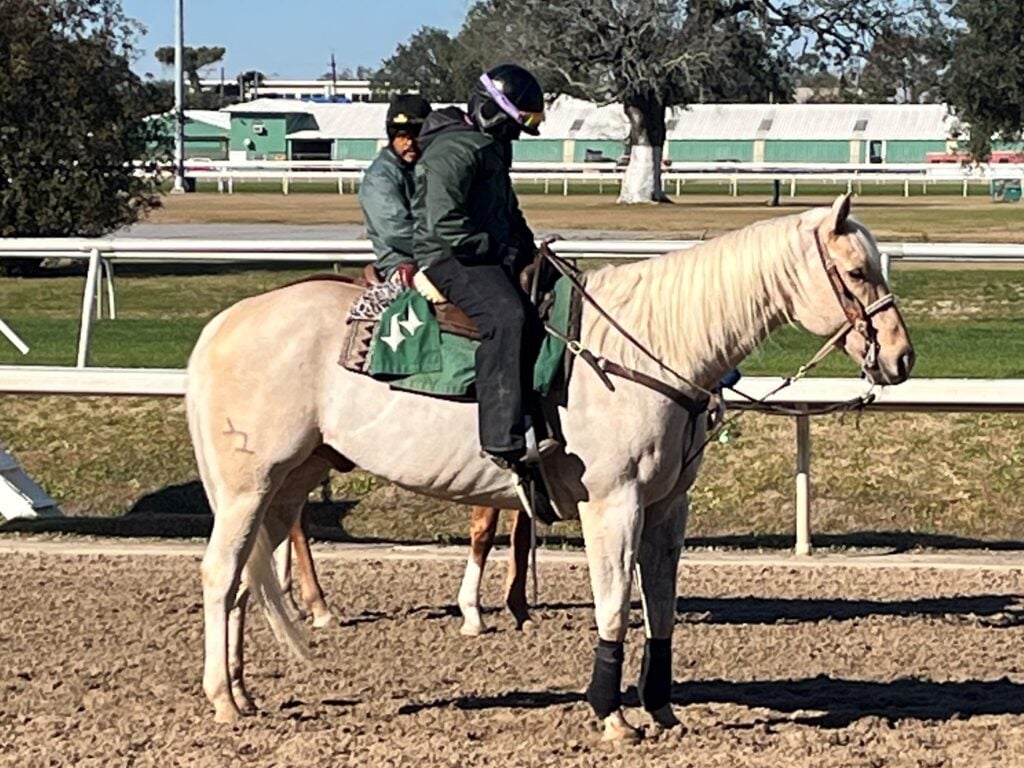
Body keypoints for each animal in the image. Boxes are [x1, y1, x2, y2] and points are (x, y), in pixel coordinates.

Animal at [190, 196, 913, 741]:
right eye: (855, 271)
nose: (901, 357)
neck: (642, 348)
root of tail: (219, 326)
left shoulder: (666, 507)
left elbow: (662, 607)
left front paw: (661, 708)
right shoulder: (613, 504)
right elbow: (614, 605)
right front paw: (611, 715)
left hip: (288, 482)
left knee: (247, 578)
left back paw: (246, 693)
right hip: (249, 486)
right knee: (222, 574)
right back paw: (223, 698)